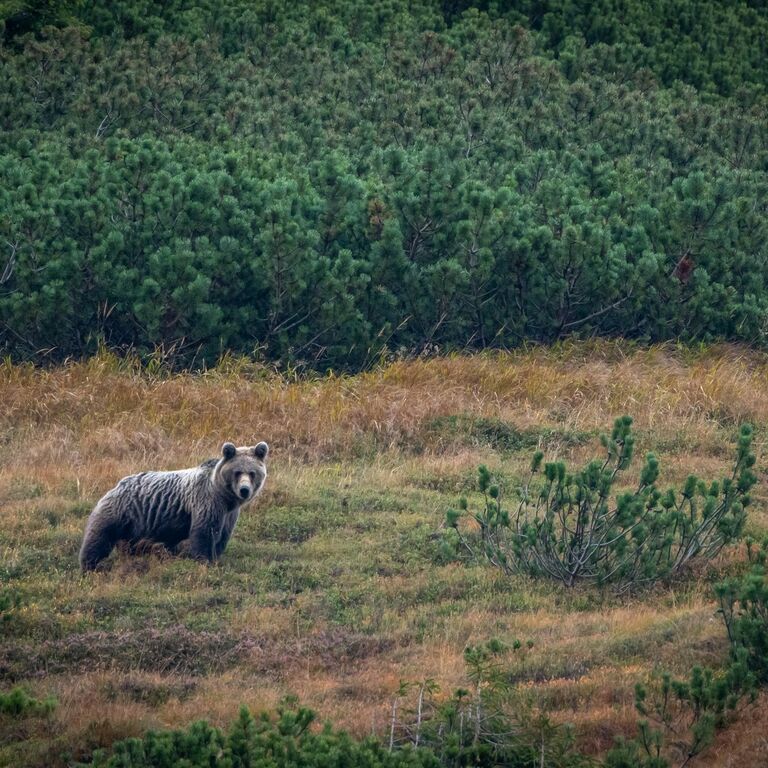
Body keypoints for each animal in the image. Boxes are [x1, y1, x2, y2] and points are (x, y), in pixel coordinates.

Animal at [79, 441, 268, 571]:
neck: (224, 495)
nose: (244, 490)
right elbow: (204, 532)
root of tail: (117, 485)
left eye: (252, 473)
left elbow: (222, 536)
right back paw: (90, 565)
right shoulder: (206, 501)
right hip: (119, 511)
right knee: (99, 537)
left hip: (134, 525)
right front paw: (204, 560)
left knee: (130, 544)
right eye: (238, 472)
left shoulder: (229, 513)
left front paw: (216, 557)